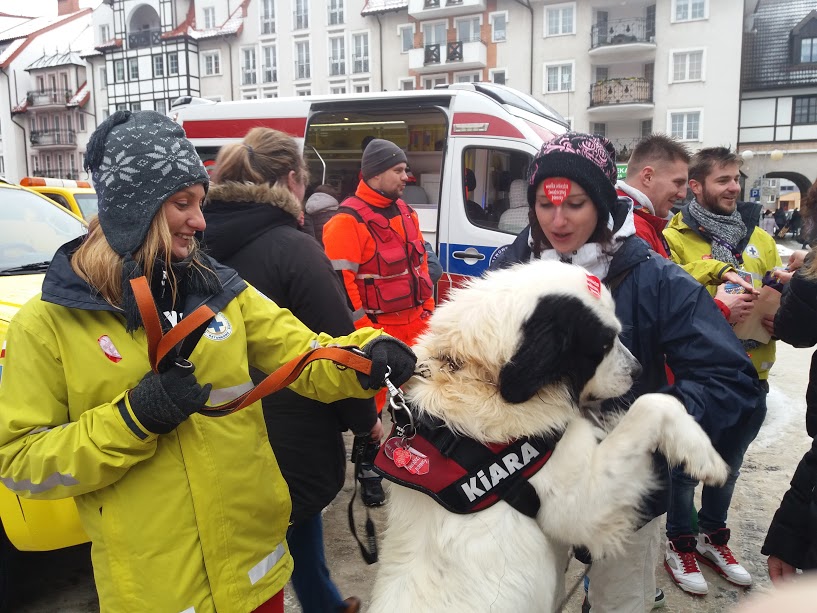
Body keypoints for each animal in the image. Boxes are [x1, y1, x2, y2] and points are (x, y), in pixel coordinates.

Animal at [370, 260, 728, 612]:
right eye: (603, 344)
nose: (637, 369)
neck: (478, 377)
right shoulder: (576, 506)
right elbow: (652, 403)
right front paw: (704, 456)